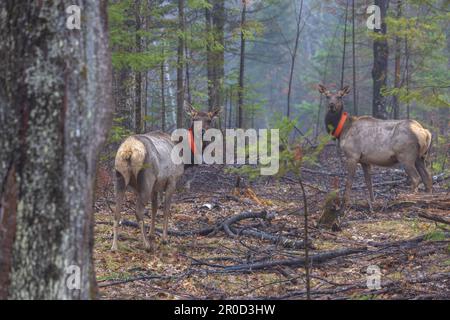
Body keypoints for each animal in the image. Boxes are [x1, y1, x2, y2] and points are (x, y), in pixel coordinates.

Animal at [110, 101, 220, 251]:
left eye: (209, 120)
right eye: (194, 119)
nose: (202, 131)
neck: (185, 157)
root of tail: (129, 150)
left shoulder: (156, 185)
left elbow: (155, 208)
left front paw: (152, 234)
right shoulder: (172, 180)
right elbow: (166, 209)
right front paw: (164, 239)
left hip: (119, 177)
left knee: (116, 212)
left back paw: (114, 246)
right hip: (146, 179)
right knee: (138, 211)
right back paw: (146, 245)